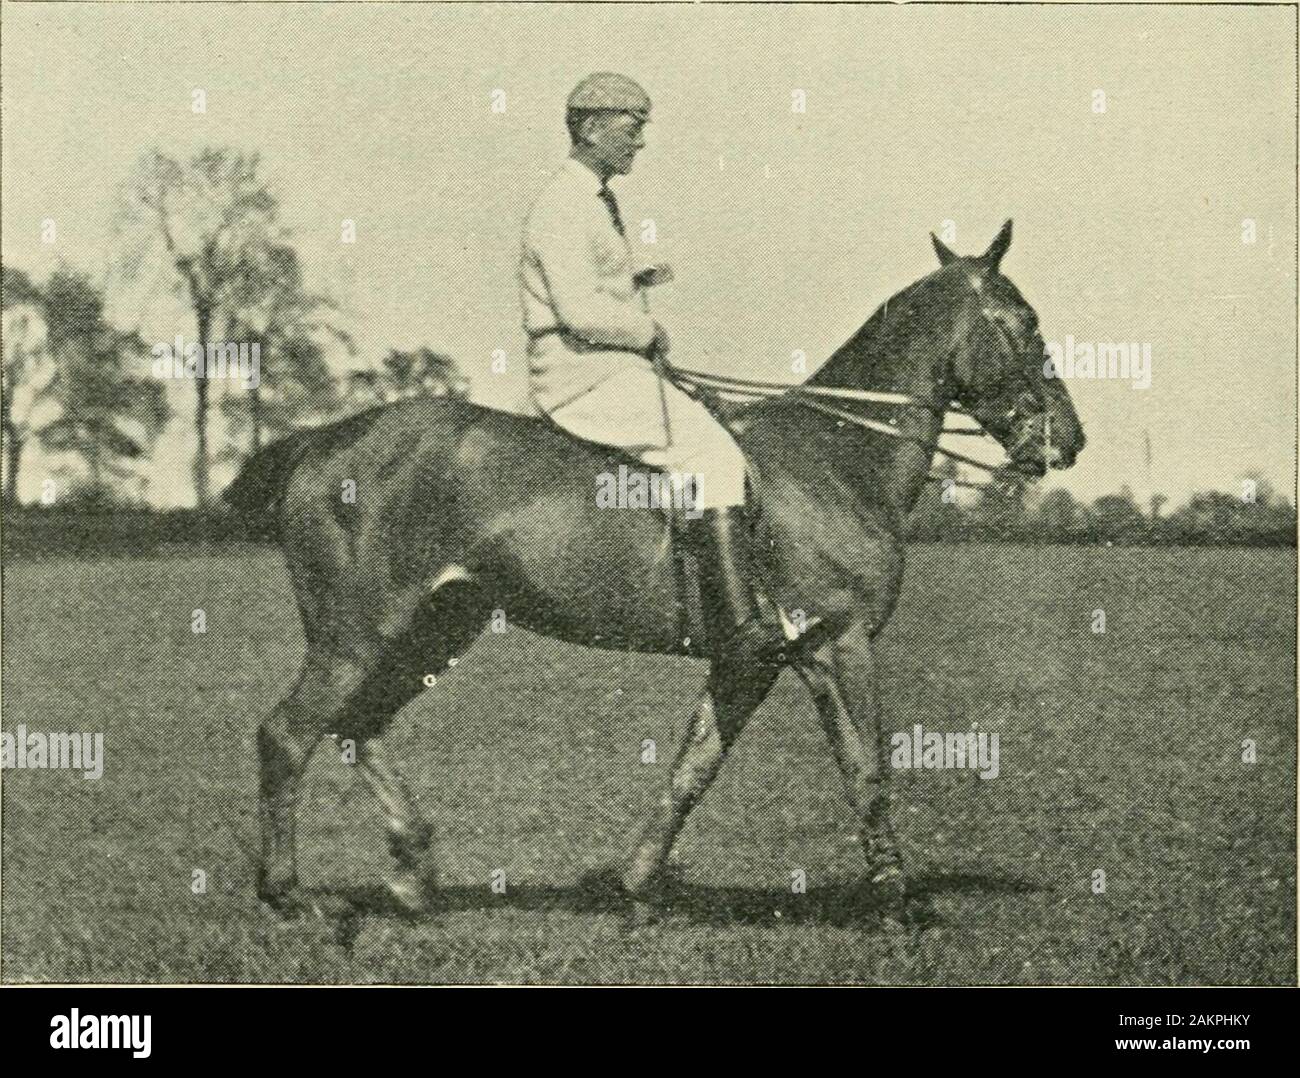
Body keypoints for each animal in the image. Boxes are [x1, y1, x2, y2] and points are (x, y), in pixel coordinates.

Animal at [223, 221, 1086, 925]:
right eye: (1025, 321)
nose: (1067, 439)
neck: (839, 457)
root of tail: (321, 440)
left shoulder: (750, 661)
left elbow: (691, 769)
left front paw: (636, 887)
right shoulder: (835, 644)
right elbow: (865, 768)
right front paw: (899, 900)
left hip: (437, 627)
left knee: (358, 725)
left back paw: (412, 870)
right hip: (356, 631)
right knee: (289, 733)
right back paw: (290, 894)